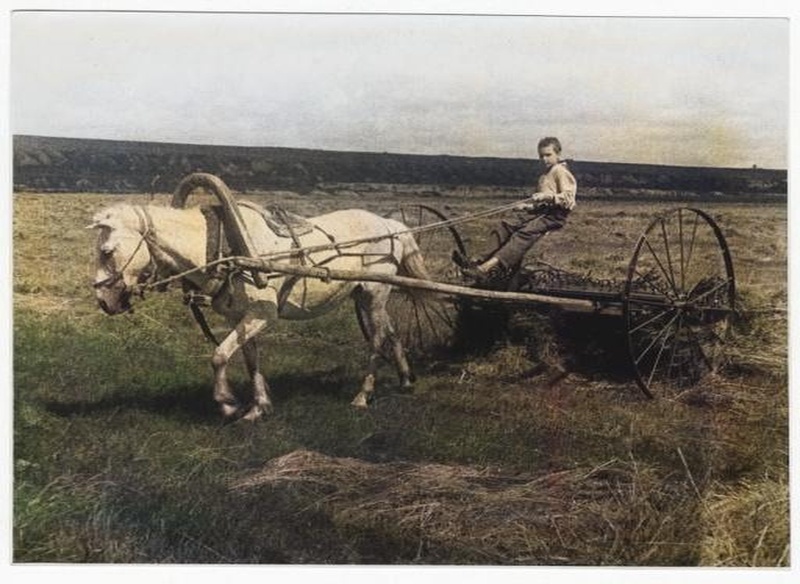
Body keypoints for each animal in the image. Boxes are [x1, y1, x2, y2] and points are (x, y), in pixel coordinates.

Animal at [89, 181, 432, 422]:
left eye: (106, 251)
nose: (104, 300)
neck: (225, 246)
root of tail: (390, 225)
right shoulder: (239, 316)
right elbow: (249, 358)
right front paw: (258, 407)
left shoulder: (263, 314)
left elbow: (219, 356)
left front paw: (228, 404)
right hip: (366, 295)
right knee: (390, 332)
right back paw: (405, 379)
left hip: (375, 292)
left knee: (376, 340)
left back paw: (363, 395)